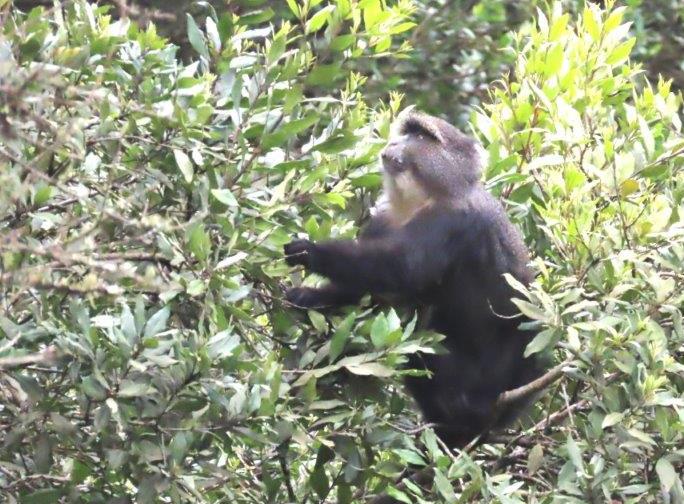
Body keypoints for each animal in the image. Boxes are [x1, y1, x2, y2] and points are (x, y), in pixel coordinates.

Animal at [284, 109, 543, 447]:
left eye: (422, 137)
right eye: (407, 132)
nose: (395, 143)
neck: (417, 201)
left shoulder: (452, 221)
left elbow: (403, 269)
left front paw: (311, 252)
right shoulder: (383, 220)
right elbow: (376, 294)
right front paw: (311, 296)